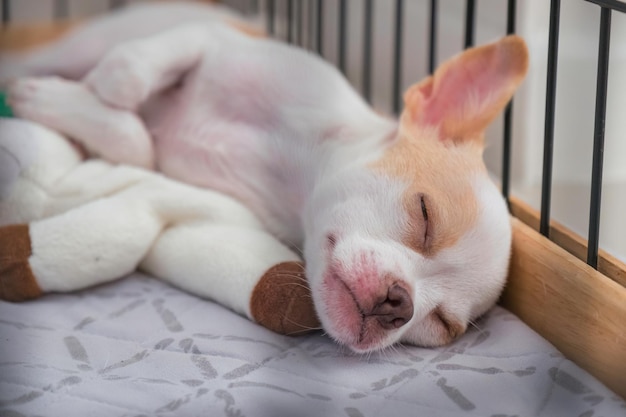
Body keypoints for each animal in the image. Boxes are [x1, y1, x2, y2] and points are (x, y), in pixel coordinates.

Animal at [0, 1, 528, 352]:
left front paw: (72, 111)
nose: (400, 304)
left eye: (440, 325)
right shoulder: (208, 41)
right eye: (424, 215)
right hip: (94, 39)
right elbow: (126, 77)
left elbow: (137, 144)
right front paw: (67, 96)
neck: (287, 172)